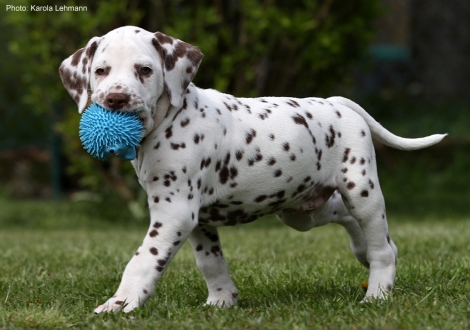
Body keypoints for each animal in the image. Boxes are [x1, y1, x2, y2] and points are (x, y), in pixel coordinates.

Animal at [59, 25, 448, 312]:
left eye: (144, 70)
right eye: (100, 71)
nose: (115, 99)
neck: (170, 119)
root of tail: (335, 102)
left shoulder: (174, 212)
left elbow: (143, 259)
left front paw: (120, 303)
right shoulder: (195, 218)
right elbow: (210, 261)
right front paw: (221, 300)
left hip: (362, 190)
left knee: (379, 241)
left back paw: (378, 290)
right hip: (300, 211)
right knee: (351, 220)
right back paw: (362, 251)